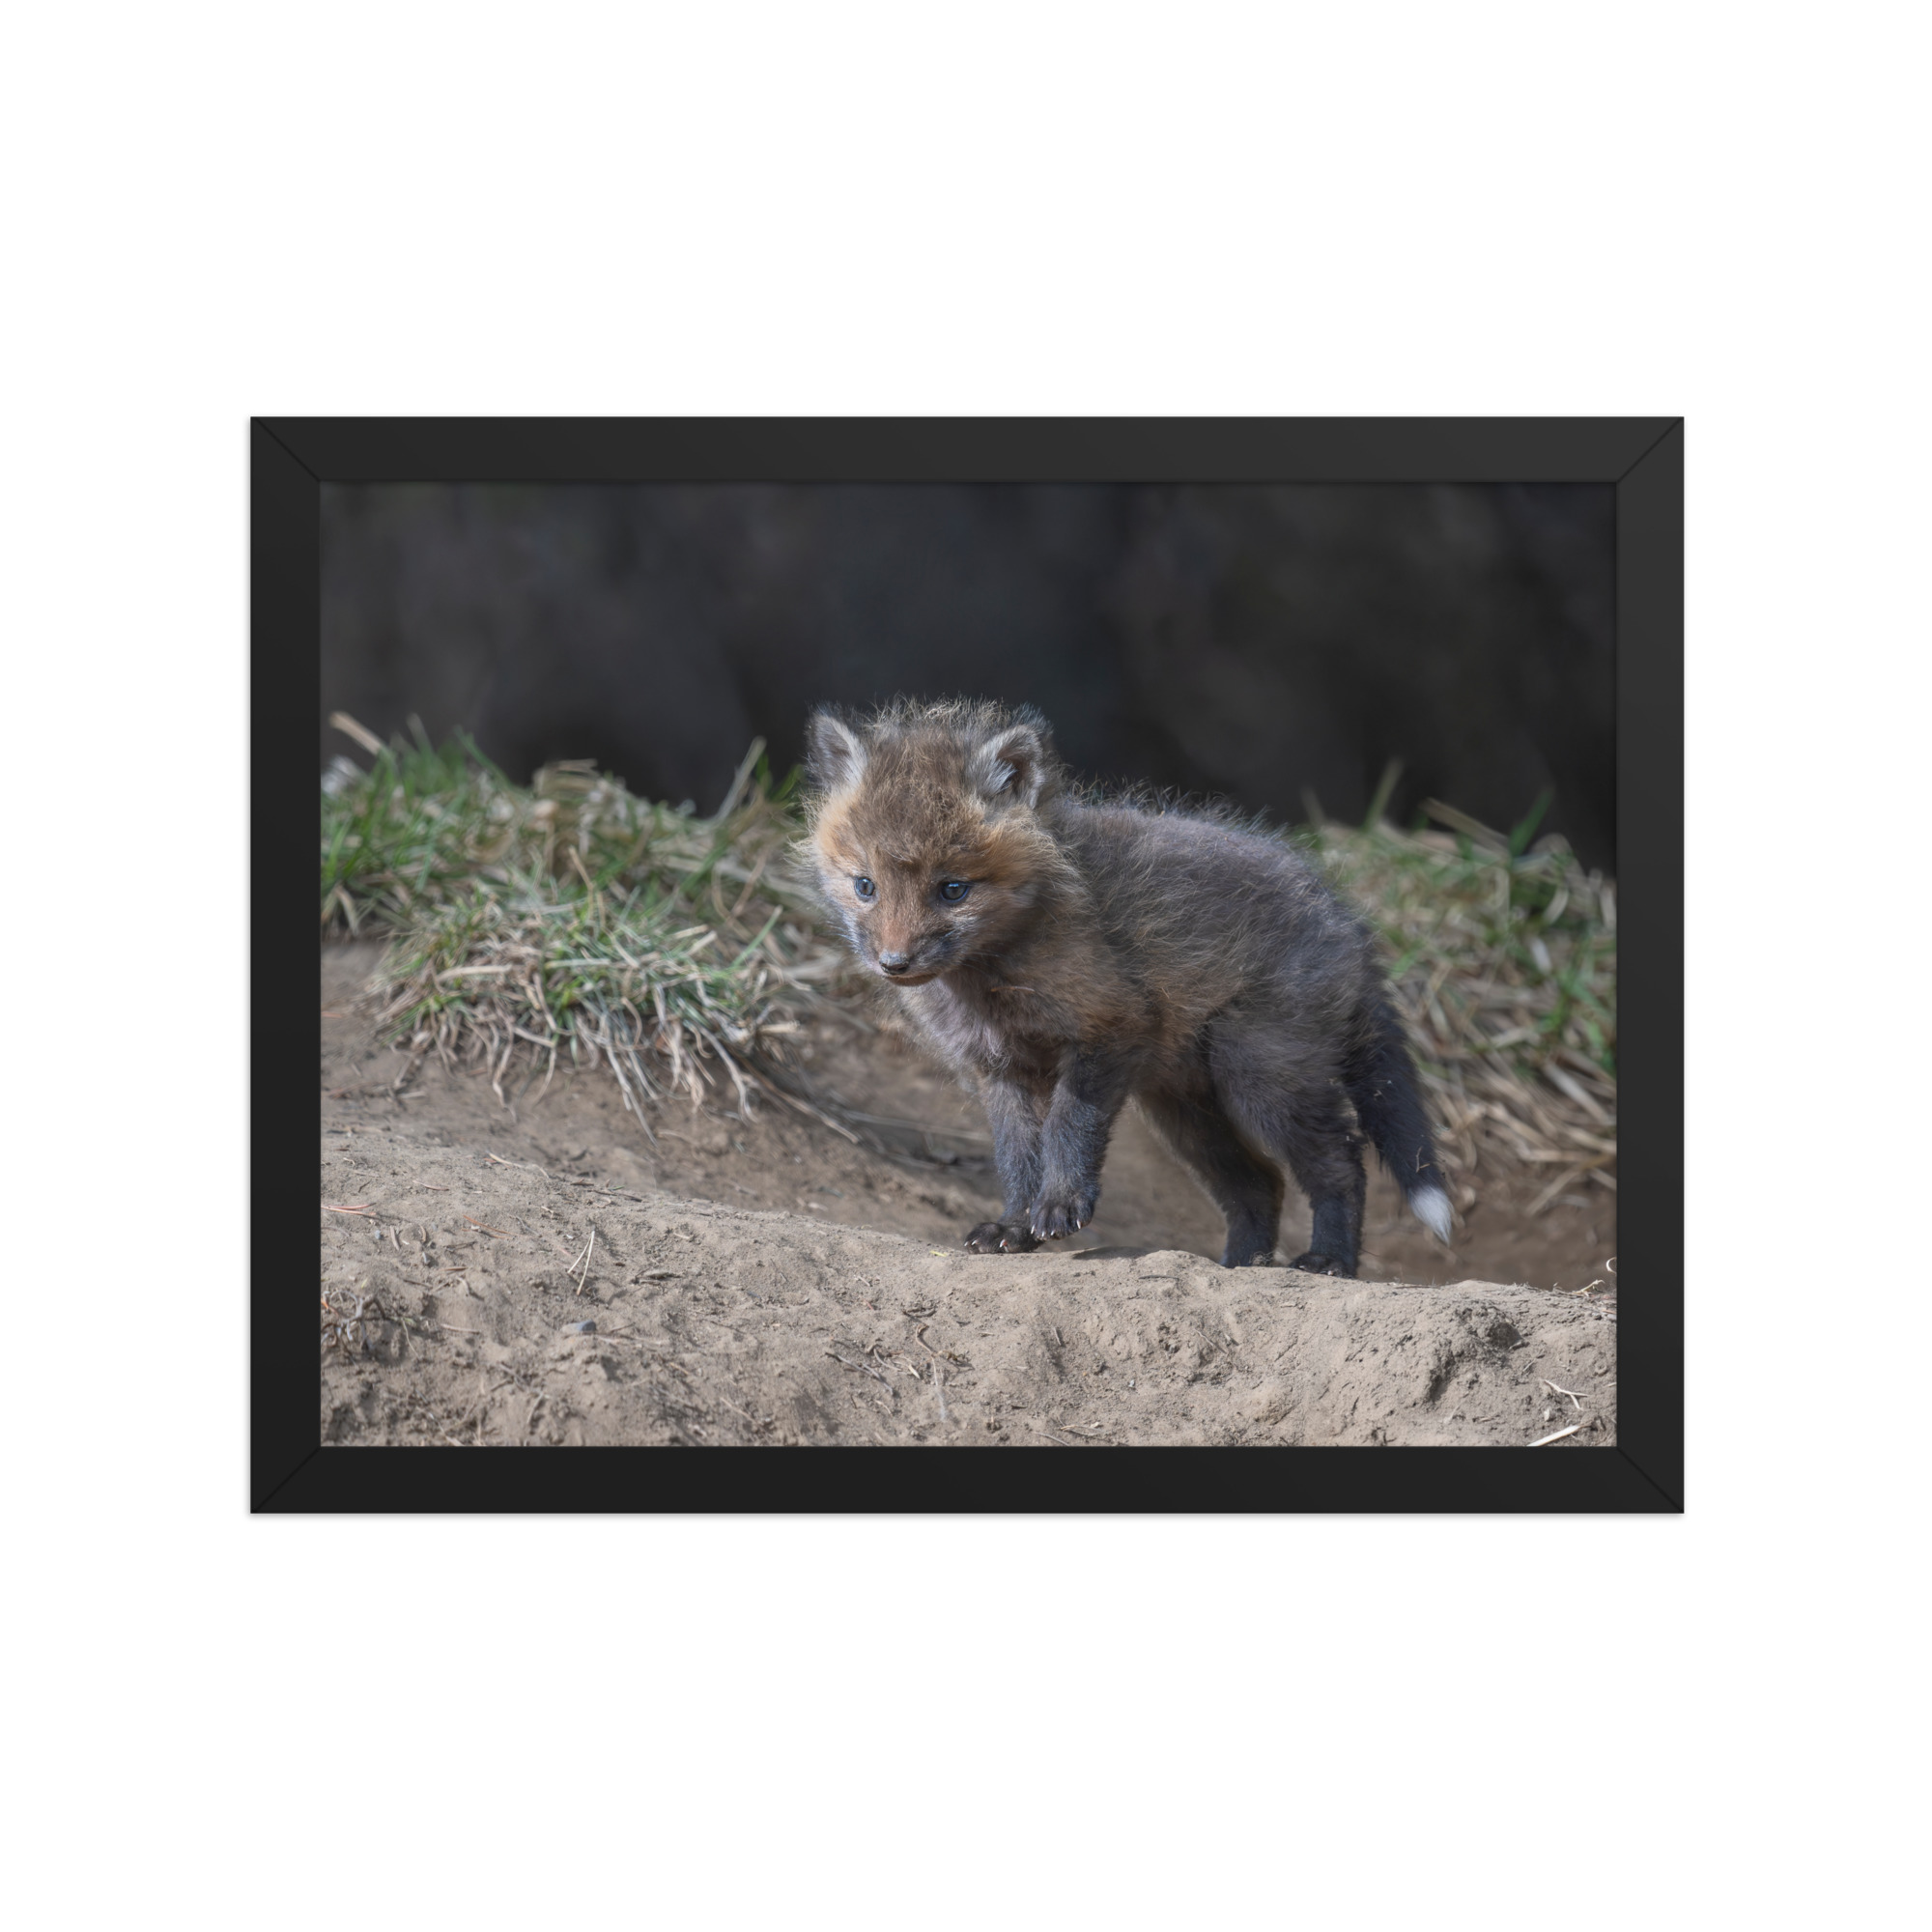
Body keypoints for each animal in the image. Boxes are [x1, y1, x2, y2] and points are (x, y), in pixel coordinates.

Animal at [801, 698, 1453, 1275]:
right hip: (1185, 1110)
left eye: (953, 890)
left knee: (1341, 1163)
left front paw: (1061, 1206)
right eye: (865, 886)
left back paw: (1329, 1261)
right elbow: (1016, 1157)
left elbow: (1068, 1127)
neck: (992, 981)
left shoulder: (1111, 1027)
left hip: (1261, 1077)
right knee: (1260, 1184)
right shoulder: (1001, 1069)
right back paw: (1240, 1266)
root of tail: (1348, 922)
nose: (894, 963)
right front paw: (1014, 1226)